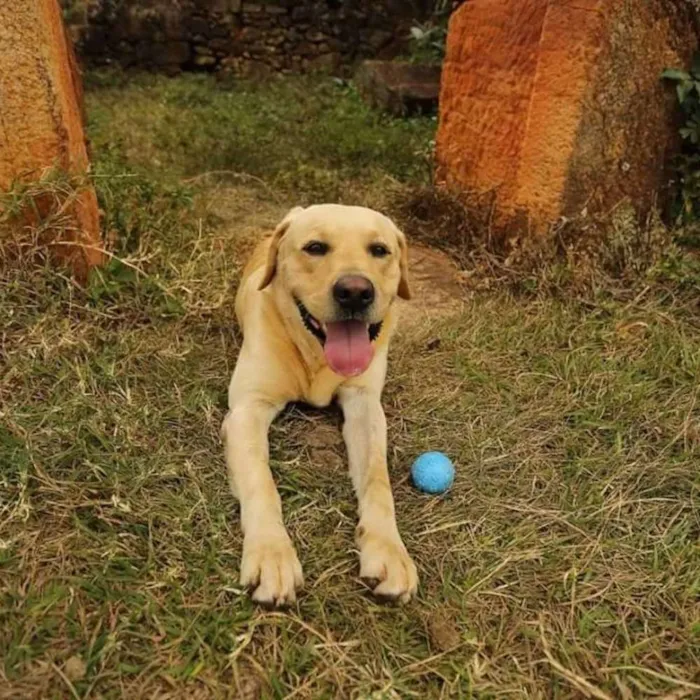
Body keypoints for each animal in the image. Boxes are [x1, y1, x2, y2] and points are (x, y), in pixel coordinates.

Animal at [224, 204, 418, 608]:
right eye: (315, 247)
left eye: (379, 250)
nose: (355, 293)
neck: (315, 355)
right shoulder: (248, 410)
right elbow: (262, 482)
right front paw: (272, 554)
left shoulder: (364, 406)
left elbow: (378, 480)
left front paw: (389, 552)